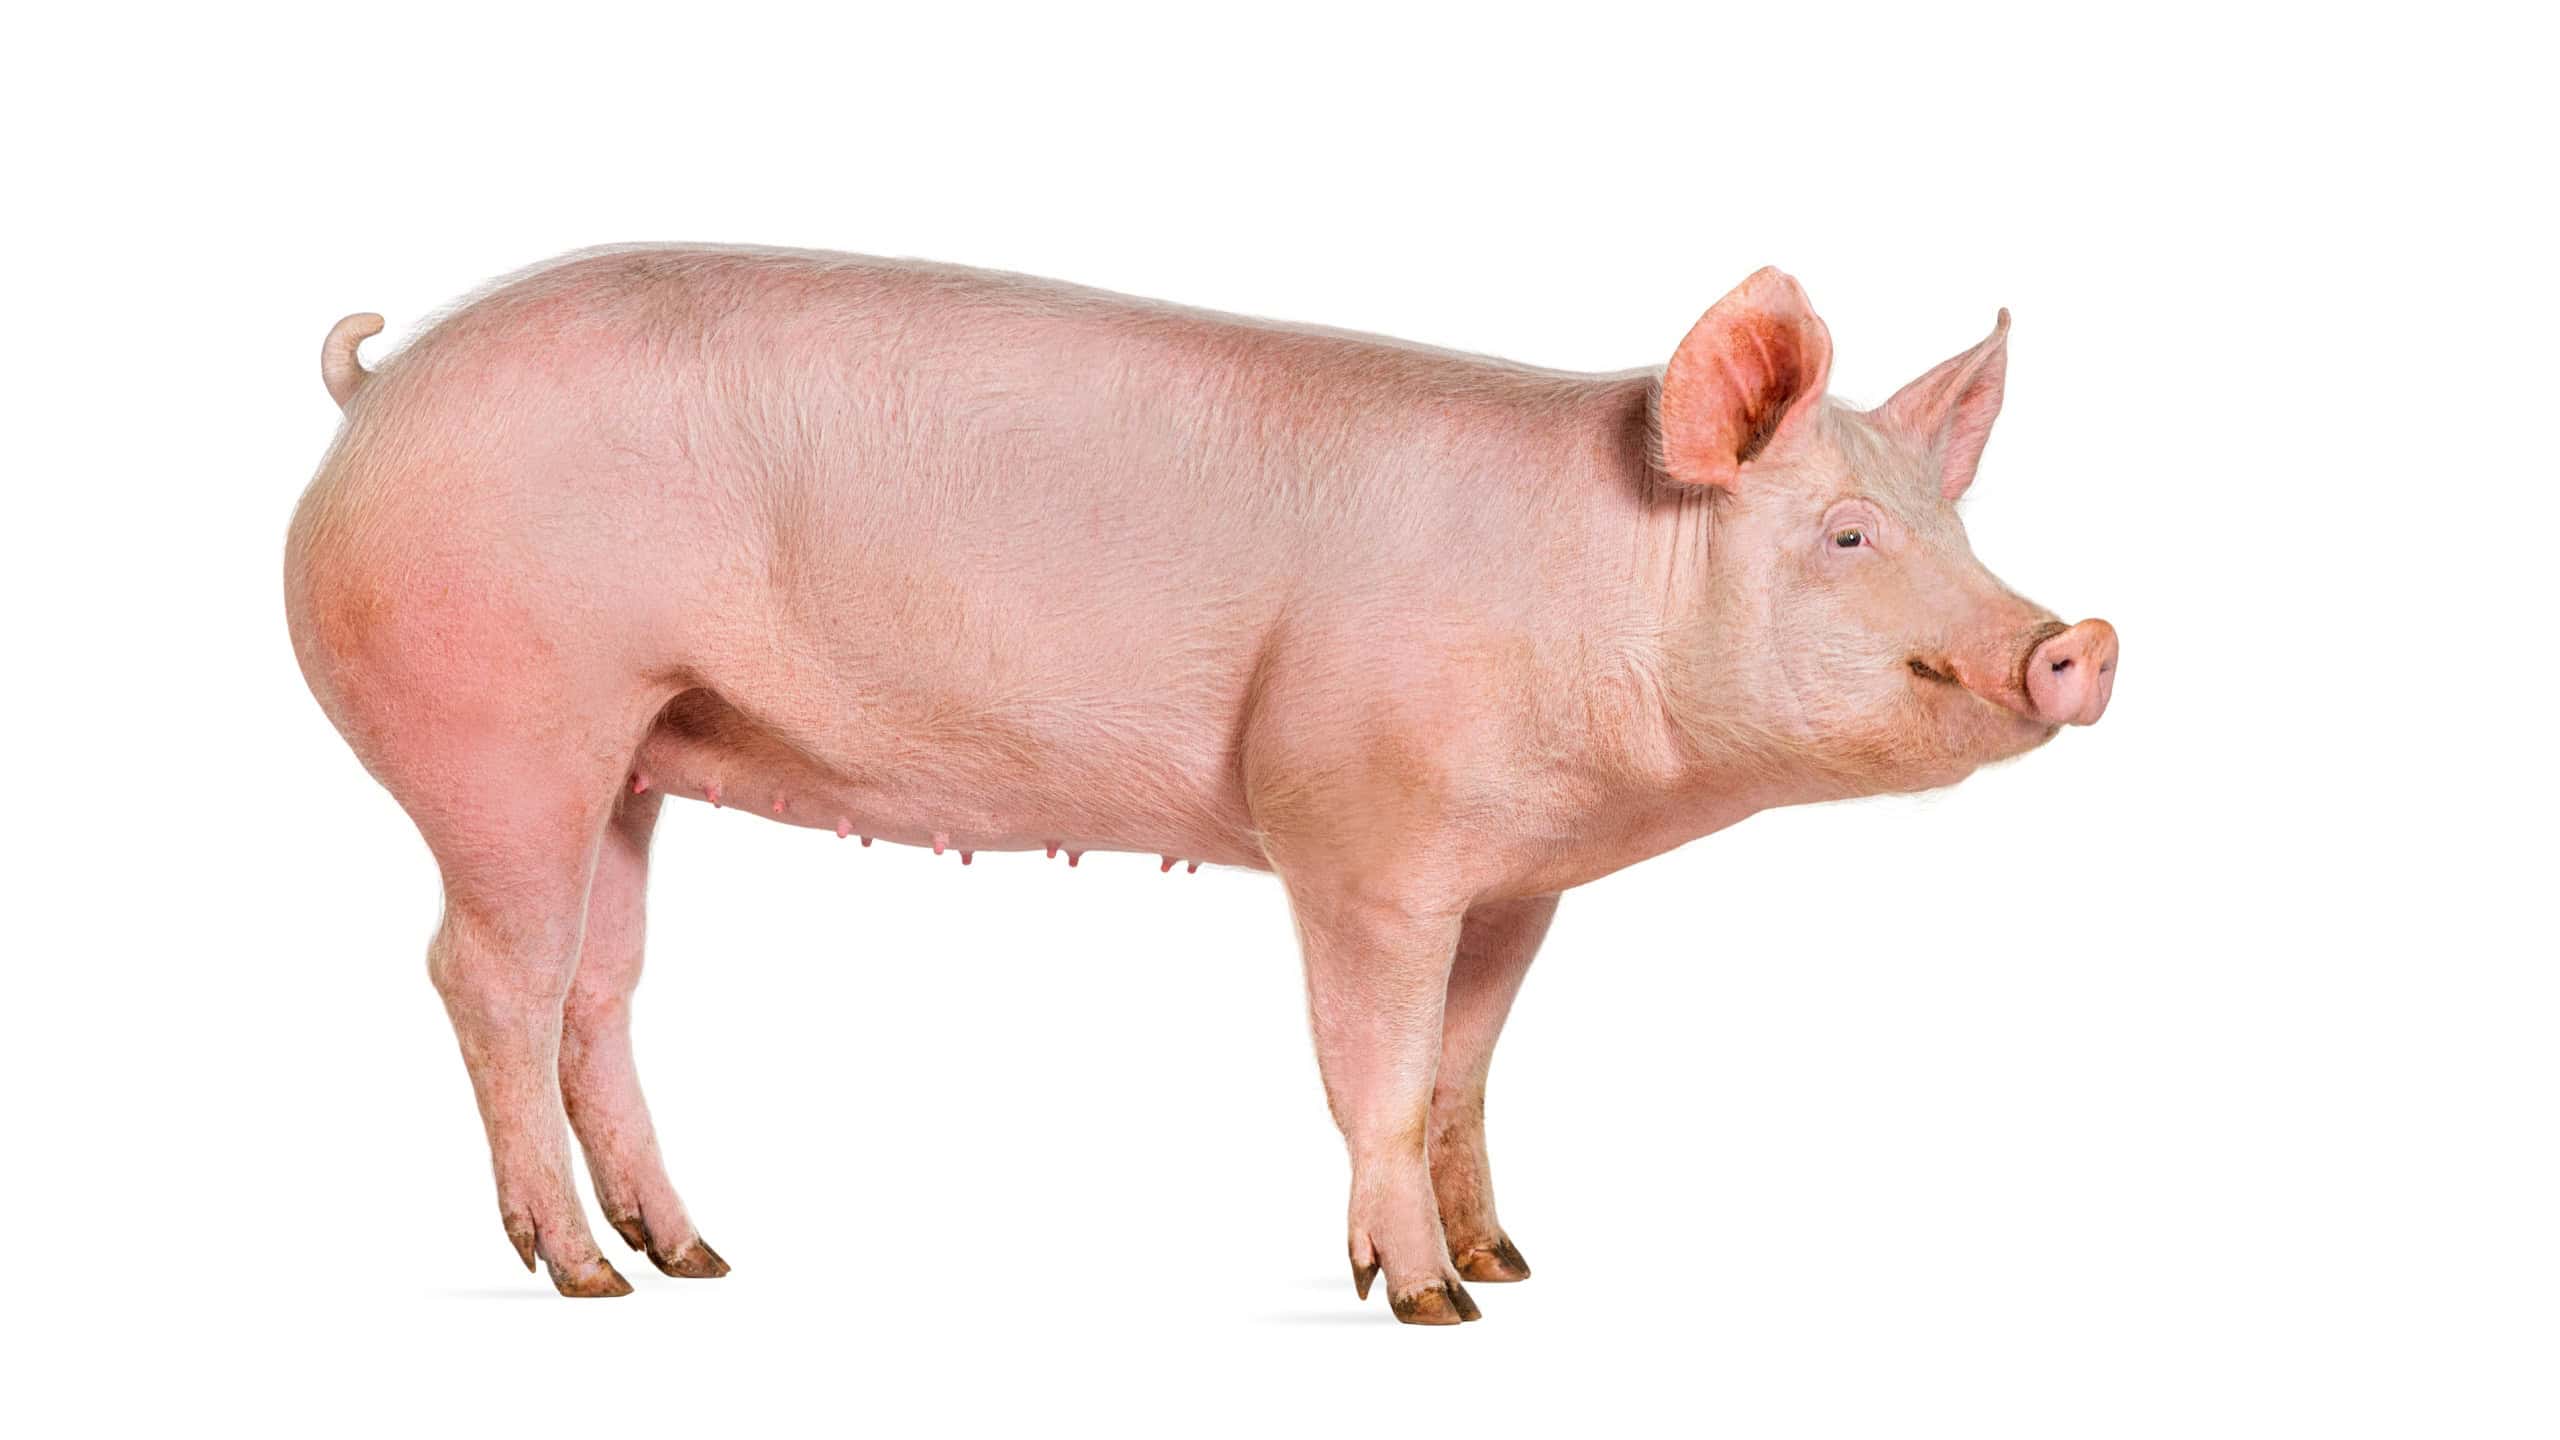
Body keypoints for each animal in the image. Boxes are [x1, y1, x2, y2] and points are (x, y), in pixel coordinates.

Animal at [285, 245, 2117, 1322]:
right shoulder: (1354, 836)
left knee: (597, 989)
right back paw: (583, 1280)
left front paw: (1515, 1266)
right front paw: (1432, 1307)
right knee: (483, 976)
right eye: (1848, 537)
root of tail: (378, 392)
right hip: (505, 728)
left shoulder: (1516, 881)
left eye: (1951, 528)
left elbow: (1462, 1075)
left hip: (632, 755)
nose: (2075, 639)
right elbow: (1376, 1073)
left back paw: (697, 1258)